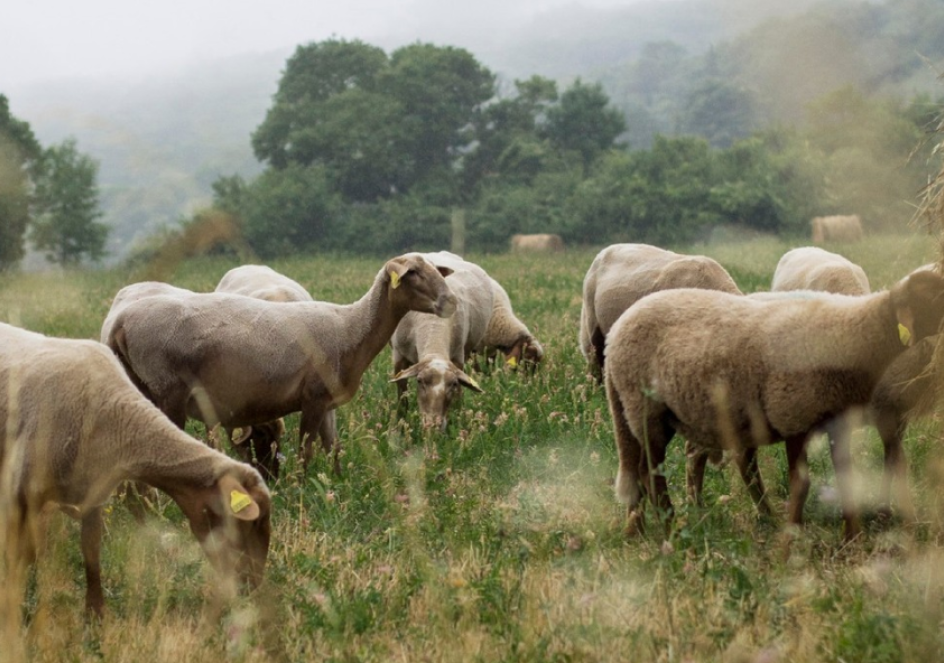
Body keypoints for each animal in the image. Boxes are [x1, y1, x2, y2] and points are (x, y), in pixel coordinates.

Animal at [0, 322, 270, 616]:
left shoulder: (95, 488)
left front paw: (96, 614)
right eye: (249, 524)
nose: (252, 586)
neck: (118, 419)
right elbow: (19, 557)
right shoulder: (21, 493)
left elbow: (91, 549)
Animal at [390, 252, 490, 434]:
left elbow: (459, 396)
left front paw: (456, 421)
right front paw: (400, 423)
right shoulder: (398, 355)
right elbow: (402, 394)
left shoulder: (457, 356)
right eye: (420, 381)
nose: (433, 425)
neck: (432, 322)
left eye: (453, 384)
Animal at [600, 268, 944, 540]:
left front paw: (852, 539)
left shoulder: (838, 421)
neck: (849, 335)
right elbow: (800, 485)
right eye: (933, 297)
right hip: (645, 409)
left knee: (646, 469)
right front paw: (792, 540)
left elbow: (848, 479)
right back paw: (672, 532)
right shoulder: (793, 415)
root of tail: (615, 334)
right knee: (650, 474)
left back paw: (639, 529)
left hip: (661, 412)